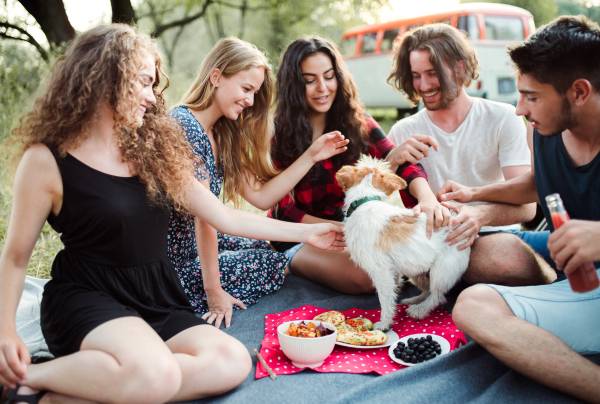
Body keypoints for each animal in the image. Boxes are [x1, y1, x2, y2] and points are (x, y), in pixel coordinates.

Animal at [338, 155, 468, 332]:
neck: (366, 200)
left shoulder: (381, 271)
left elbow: (385, 299)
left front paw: (384, 323)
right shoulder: (392, 270)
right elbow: (392, 291)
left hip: (441, 271)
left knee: (437, 297)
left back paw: (419, 310)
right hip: (417, 269)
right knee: (427, 291)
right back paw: (414, 300)